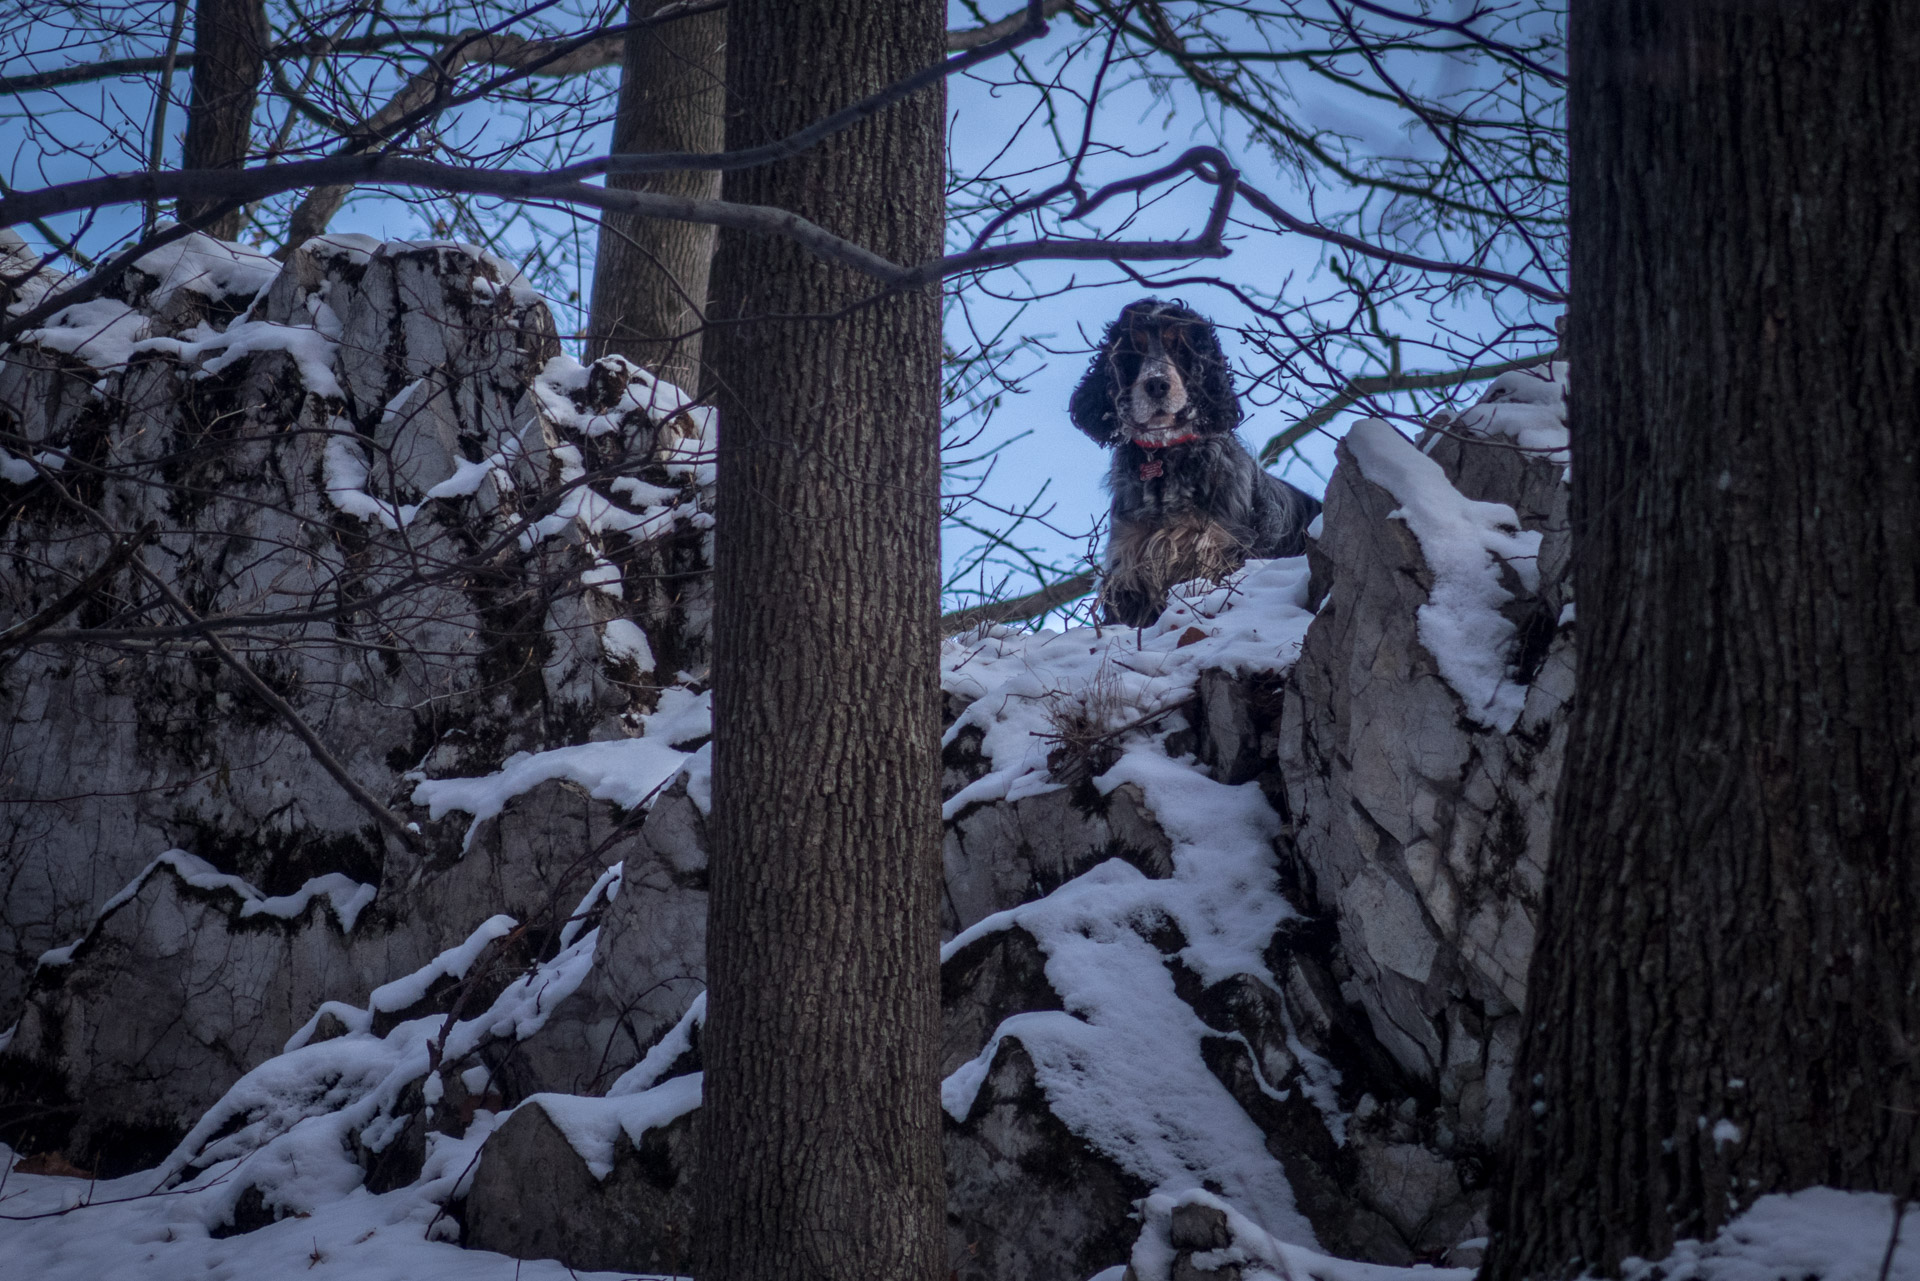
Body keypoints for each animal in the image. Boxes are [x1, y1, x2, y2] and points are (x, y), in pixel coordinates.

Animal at [1067, 297, 1320, 626]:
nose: (1157, 385)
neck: (1165, 458)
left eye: (1179, 344)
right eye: (1134, 346)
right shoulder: (1130, 565)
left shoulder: (1220, 550)